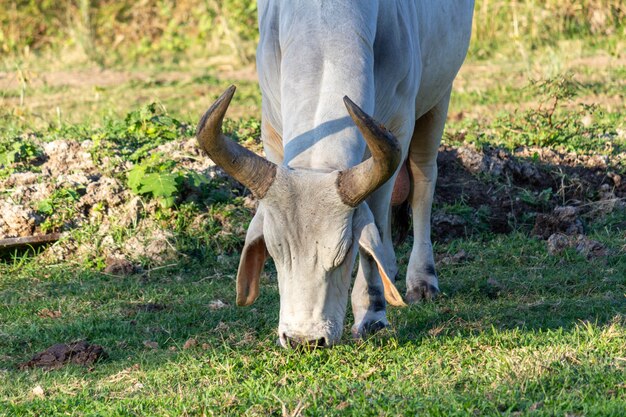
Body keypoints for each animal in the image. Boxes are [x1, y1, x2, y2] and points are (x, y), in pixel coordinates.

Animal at [195, 0, 472, 348]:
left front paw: (372, 313)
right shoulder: (271, 127)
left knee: (423, 183)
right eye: (274, 250)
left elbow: (375, 228)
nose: (303, 340)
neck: (325, 22)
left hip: (438, 98)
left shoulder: (399, 124)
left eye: (344, 253)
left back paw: (421, 279)